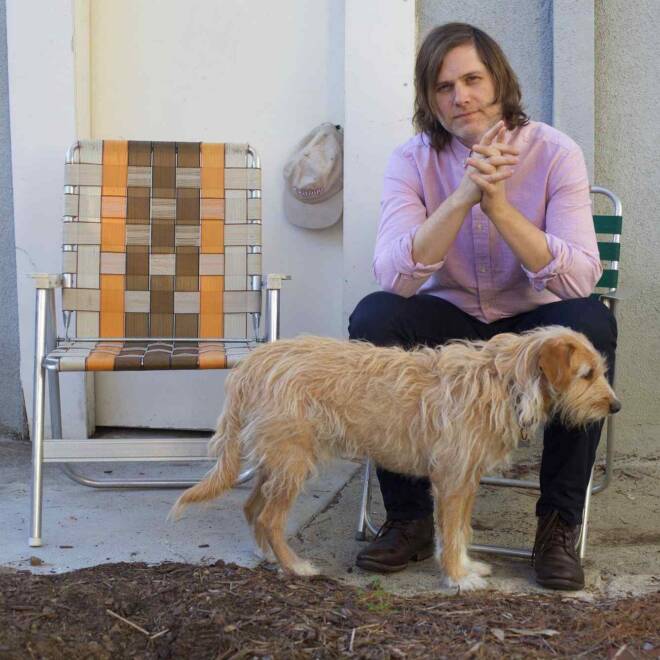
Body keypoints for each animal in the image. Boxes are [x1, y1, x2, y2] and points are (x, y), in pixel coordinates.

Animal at [170, 328, 620, 592]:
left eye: (599, 371)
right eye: (586, 374)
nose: (615, 406)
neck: (504, 381)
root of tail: (253, 363)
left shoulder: (467, 480)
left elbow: (462, 531)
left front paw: (468, 567)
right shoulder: (452, 480)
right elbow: (450, 533)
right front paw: (458, 578)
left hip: (278, 459)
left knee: (252, 506)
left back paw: (267, 555)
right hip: (292, 460)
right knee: (267, 516)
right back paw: (295, 567)